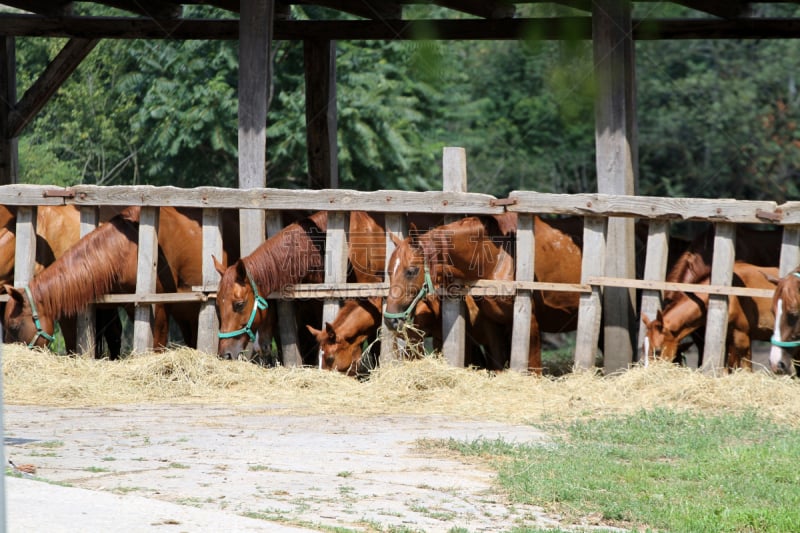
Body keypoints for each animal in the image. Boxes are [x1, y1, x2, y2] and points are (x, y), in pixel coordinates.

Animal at [382, 210, 580, 372]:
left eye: (411, 271)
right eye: (389, 271)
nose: (390, 320)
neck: (498, 258)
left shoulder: (530, 324)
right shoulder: (492, 323)